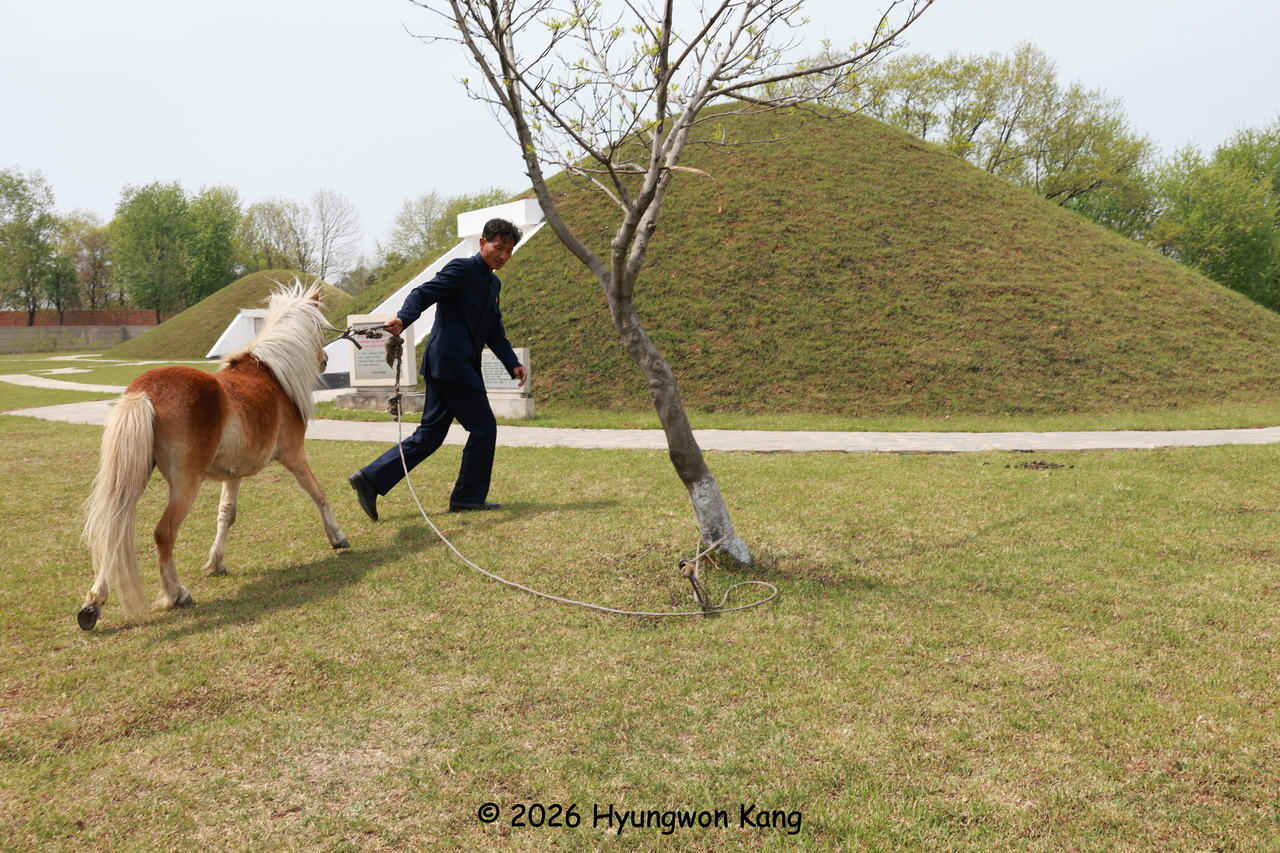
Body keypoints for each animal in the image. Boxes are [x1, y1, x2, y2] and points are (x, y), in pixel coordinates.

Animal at [78, 282, 350, 630]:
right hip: (185, 485)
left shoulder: (233, 474)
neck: (274, 376)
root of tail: (144, 392)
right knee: (164, 534)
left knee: (113, 531)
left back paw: (93, 604)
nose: (326, 359)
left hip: (132, 477)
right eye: (318, 331)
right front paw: (337, 537)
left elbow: (226, 514)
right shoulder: (294, 455)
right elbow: (318, 493)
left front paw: (216, 562)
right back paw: (176, 593)